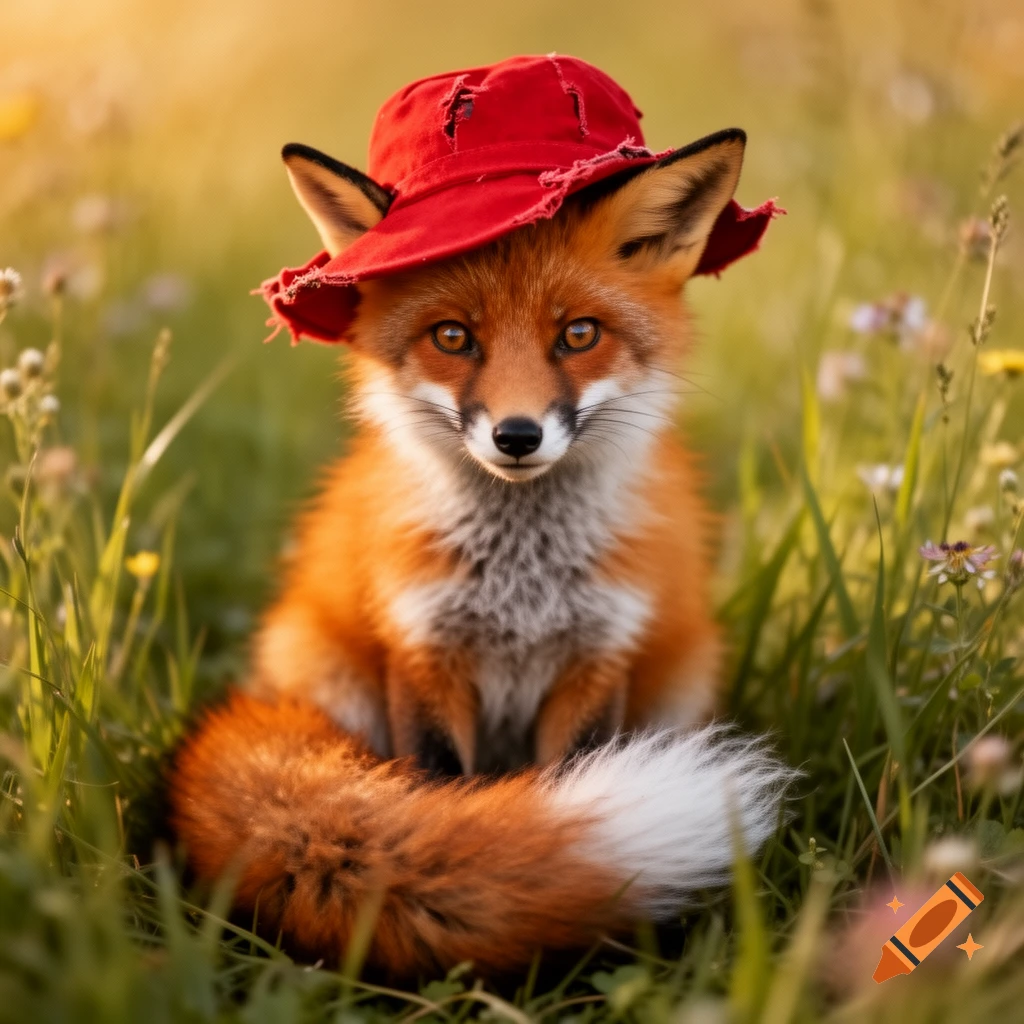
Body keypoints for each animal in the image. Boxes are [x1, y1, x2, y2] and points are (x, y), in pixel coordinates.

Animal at [170, 106, 792, 977]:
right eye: (454, 337)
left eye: (578, 334)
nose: (518, 435)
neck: (520, 582)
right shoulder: (423, 650)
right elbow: (438, 796)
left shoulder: (596, 657)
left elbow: (569, 778)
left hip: (680, 679)